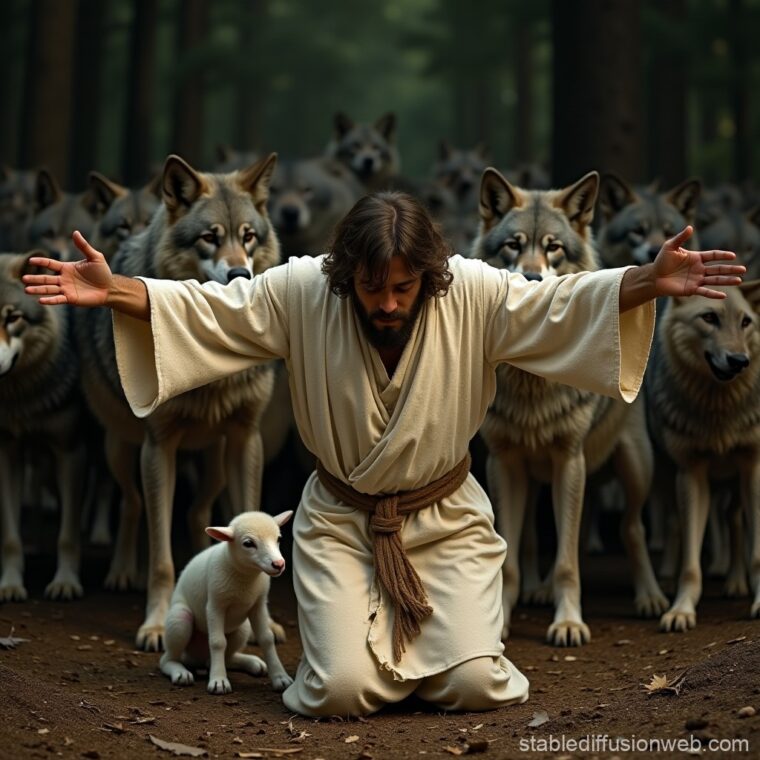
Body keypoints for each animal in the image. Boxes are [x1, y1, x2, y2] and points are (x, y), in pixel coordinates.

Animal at [76, 153, 281, 651]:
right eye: (210, 237)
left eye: (248, 235)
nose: (241, 275)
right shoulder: (159, 446)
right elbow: (162, 558)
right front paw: (154, 624)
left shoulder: (246, 439)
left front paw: (265, 623)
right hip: (121, 450)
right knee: (131, 504)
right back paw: (121, 572)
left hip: (216, 460)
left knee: (198, 513)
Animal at [159, 510, 294, 695]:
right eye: (248, 543)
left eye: (278, 538)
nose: (279, 564)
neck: (246, 576)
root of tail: (197, 658)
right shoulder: (215, 605)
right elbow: (217, 642)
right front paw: (219, 681)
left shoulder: (258, 605)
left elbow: (266, 639)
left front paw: (280, 677)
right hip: (180, 620)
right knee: (168, 658)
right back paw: (180, 672)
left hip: (243, 627)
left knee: (226, 657)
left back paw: (251, 663)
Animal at [473, 168, 667, 646]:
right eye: (513, 244)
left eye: (553, 248)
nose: (531, 278)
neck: (532, 384)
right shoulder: (504, 462)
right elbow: (512, 556)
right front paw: (503, 620)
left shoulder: (569, 460)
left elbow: (567, 561)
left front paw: (568, 623)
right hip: (533, 476)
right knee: (531, 537)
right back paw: (536, 590)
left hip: (634, 467)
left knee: (631, 529)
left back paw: (652, 598)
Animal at [648, 283, 760, 632]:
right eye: (709, 318)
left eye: (745, 322)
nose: (739, 361)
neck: (718, 411)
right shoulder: (691, 474)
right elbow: (691, 562)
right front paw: (681, 610)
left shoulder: (752, 468)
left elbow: (756, 553)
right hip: (665, 475)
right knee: (673, 523)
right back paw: (666, 579)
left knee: (735, 522)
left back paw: (735, 582)